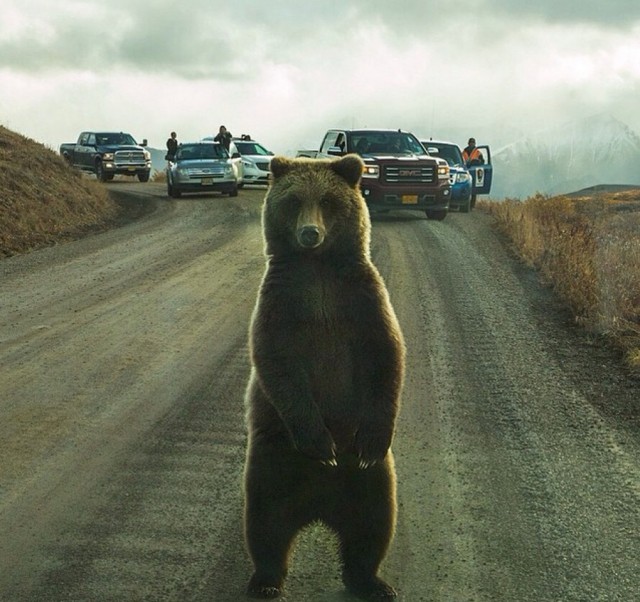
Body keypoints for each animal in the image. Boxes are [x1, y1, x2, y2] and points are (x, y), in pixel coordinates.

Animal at [244, 154, 404, 596]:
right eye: (294, 200)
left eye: (328, 201)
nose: (310, 233)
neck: (317, 270)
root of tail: (318, 507)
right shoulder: (281, 303)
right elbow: (277, 364)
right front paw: (321, 443)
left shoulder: (362, 300)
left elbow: (388, 355)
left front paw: (374, 437)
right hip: (273, 458)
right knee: (265, 522)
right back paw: (266, 581)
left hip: (370, 479)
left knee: (374, 522)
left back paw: (372, 582)